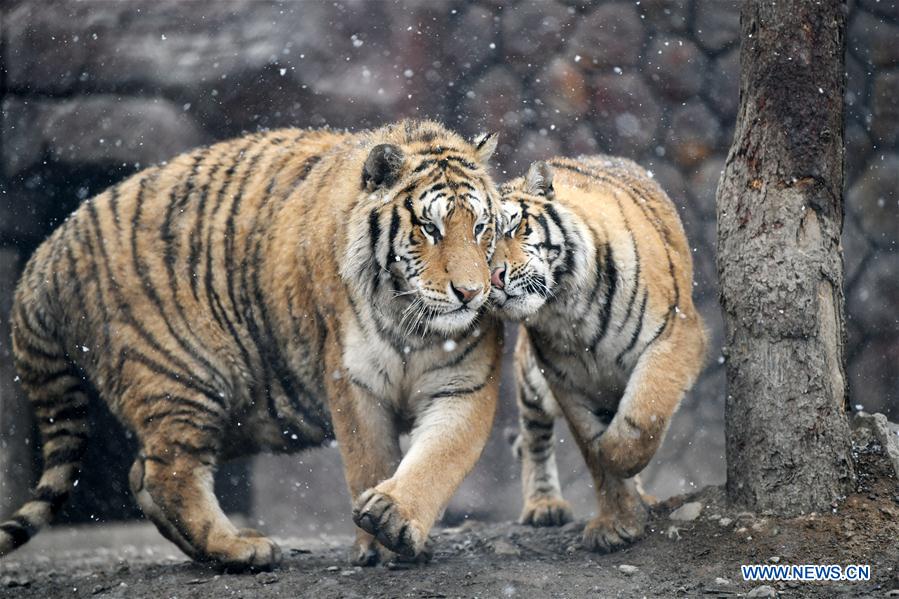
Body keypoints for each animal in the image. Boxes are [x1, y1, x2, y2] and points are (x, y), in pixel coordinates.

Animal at [2, 119, 505, 569]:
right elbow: (370, 459)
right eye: (430, 229)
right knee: (168, 472)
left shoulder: (464, 383)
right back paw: (240, 549)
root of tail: (48, 251)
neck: (411, 321)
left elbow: (440, 456)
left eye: (481, 228)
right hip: (186, 378)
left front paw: (394, 521)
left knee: (141, 472)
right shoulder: (353, 381)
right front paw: (378, 545)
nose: (471, 293)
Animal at [489, 155, 707, 552]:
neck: (565, 307)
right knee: (534, 436)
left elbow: (642, 417)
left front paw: (621, 462)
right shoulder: (564, 380)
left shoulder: (676, 334)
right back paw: (544, 505)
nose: (495, 277)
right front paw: (618, 523)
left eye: (514, 228)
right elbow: (592, 450)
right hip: (530, 379)